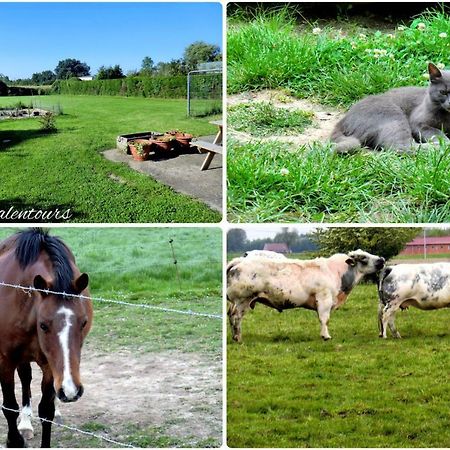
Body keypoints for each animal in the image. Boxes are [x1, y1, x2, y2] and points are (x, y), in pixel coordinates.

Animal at [0, 229, 92, 446]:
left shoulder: (51, 366)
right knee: (25, 378)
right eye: (43, 325)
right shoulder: (5, 360)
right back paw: (25, 424)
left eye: (83, 322)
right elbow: (9, 406)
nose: (71, 391)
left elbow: (46, 410)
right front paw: (15, 440)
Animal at [227, 250, 384, 342]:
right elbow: (324, 319)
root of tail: (239, 261)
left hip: (236, 302)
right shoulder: (324, 298)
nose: (382, 259)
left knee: (230, 315)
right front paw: (326, 336)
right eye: (363, 257)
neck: (337, 272)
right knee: (236, 317)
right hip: (243, 300)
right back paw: (238, 338)